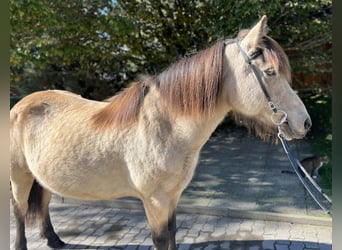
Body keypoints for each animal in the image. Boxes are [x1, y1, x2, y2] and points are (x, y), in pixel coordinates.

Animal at [10, 16, 312, 250]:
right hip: (20, 176)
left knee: (44, 203)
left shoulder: (173, 197)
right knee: (19, 211)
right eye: (270, 72)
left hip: (43, 176)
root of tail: (20, 105)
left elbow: (172, 234)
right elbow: (161, 239)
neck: (164, 127)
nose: (305, 123)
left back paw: (54, 240)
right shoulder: (154, 200)